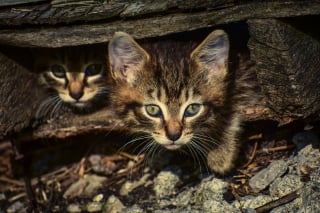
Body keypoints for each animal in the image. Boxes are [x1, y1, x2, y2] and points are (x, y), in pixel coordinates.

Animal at [107, 30, 258, 174]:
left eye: (193, 109)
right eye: (152, 110)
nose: (174, 135)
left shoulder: (246, 79)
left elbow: (234, 109)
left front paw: (221, 151)